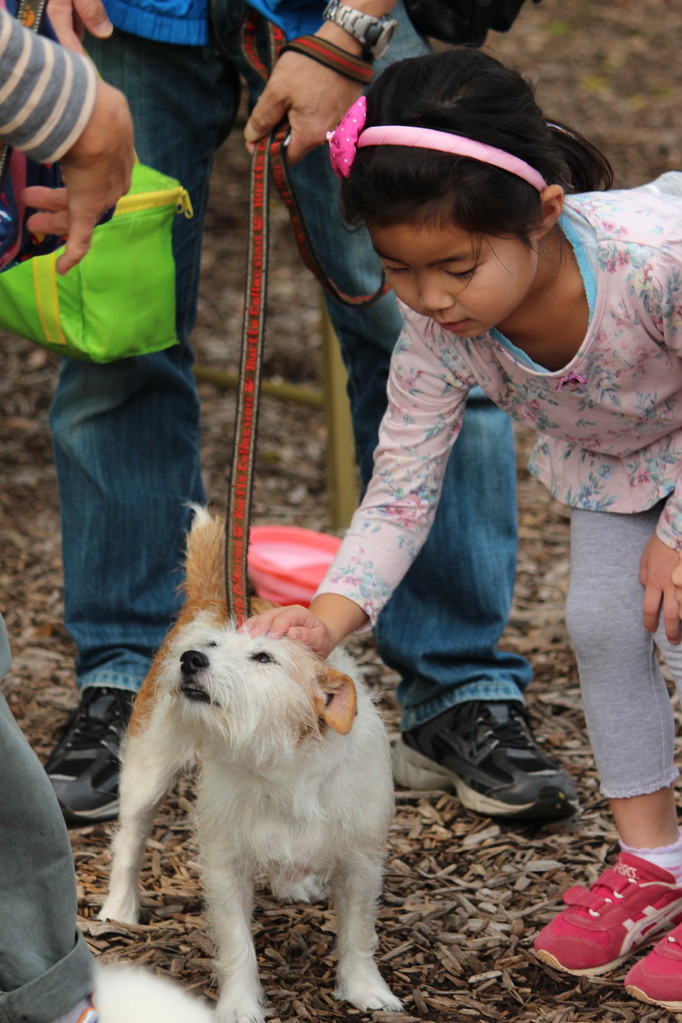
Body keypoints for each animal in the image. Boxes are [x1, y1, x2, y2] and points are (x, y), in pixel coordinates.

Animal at [98, 505, 402, 1023]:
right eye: (213, 648)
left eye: (264, 657)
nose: (191, 659)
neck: (281, 765)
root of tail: (211, 600)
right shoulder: (225, 866)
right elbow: (238, 944)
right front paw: (239, 1006)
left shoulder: (361, 863)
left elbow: (358, 933)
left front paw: (365, 989)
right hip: (146, 770)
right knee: (130, 839)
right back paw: (119, 908)